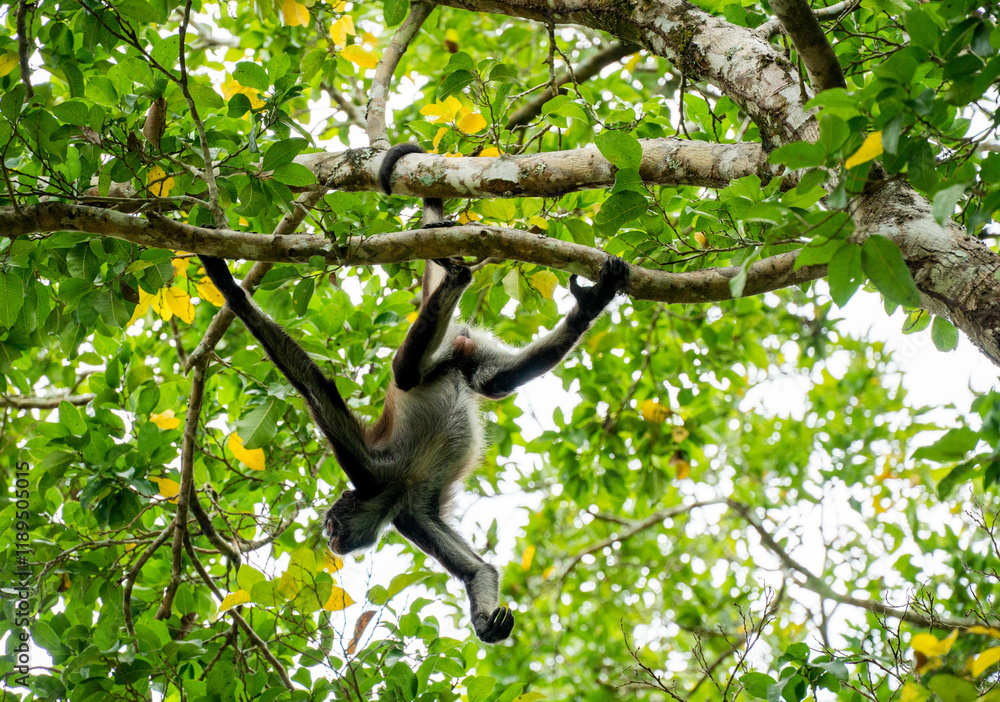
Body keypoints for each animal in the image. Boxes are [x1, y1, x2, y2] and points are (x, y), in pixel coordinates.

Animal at [197, 144, 630, 643]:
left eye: (332, 524)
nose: (332, 541)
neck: (393, 488)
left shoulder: (368, 469)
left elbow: (311, 383)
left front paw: (227, 284)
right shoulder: (411, 514)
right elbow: (479, 572)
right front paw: (486, 623)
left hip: (427, 365)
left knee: (404, 372)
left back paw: (456, 276)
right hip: (463, 356)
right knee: (492, 382)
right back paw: (587, 309)